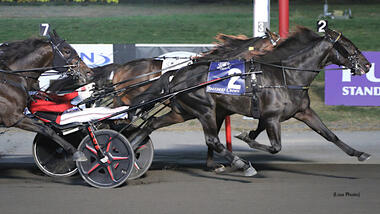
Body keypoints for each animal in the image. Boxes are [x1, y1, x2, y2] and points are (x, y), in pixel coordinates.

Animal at [0, 30, 93, 162]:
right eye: (67, 51)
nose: (88, 72)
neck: (10, 79)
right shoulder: (14, 117)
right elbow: (47, 130)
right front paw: (76, 152)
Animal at [130, 26, 372, 176]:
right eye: (349, 46)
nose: (368, 65)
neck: (286, 76)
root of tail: (176, 74)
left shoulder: (303, 112)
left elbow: (329, 134)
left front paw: (359, 153)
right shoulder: (272, 117)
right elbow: (275, 146)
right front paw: (246, 138)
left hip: (184, 111)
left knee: (151, 124)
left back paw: (132, 150)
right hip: (205, 109)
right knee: (212, 140)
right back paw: (242, 164)